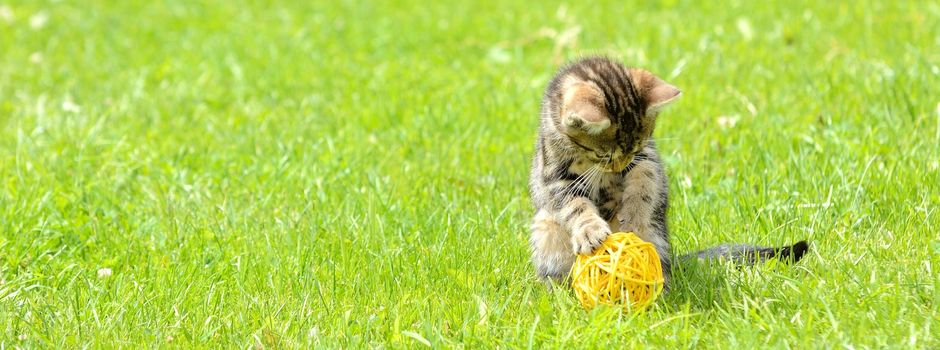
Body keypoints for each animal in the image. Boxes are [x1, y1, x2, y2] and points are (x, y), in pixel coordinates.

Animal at [528, 56, 808, 288]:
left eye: (636, 147)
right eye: (603, 155)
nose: (620, 166)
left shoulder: (646, 158)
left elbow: (645, 184)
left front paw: (634, 216)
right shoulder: (553, 174)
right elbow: (573, 204)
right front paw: (589, 230)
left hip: (657, 233)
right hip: (545, 228)